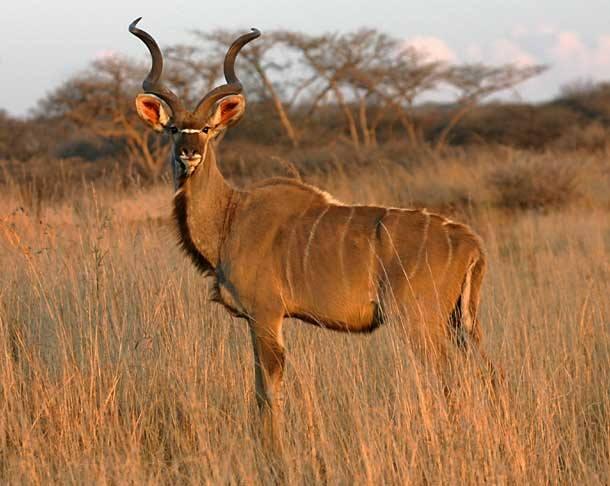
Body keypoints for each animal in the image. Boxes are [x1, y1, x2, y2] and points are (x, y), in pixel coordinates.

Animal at [129, 16, 498, 440]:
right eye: (174, 129)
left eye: (207, 129)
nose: (189, 154)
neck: (230, 216)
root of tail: (469, 241)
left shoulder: (266, 315)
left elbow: (267, 391)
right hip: (459, 323)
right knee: (487, 373)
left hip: (419, 322)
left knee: (449, 378)